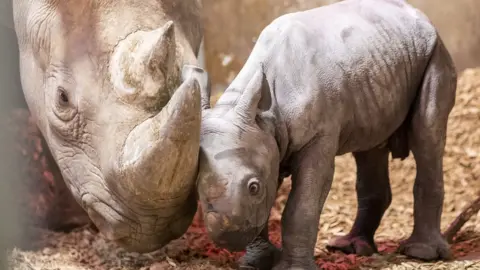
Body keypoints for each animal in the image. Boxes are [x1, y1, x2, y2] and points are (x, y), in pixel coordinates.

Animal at [196, 0, 458, 268]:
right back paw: (350, 248)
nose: (227, 238)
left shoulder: (317, 137)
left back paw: (421, 253)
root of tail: (420, 15)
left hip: (434, 52)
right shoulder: (266, 143)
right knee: (370, 147)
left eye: (253, 187)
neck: (262, 117)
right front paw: (255, 262)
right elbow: (266, 205)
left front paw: (292, 268)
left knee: (426, 136)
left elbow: (301, 205)